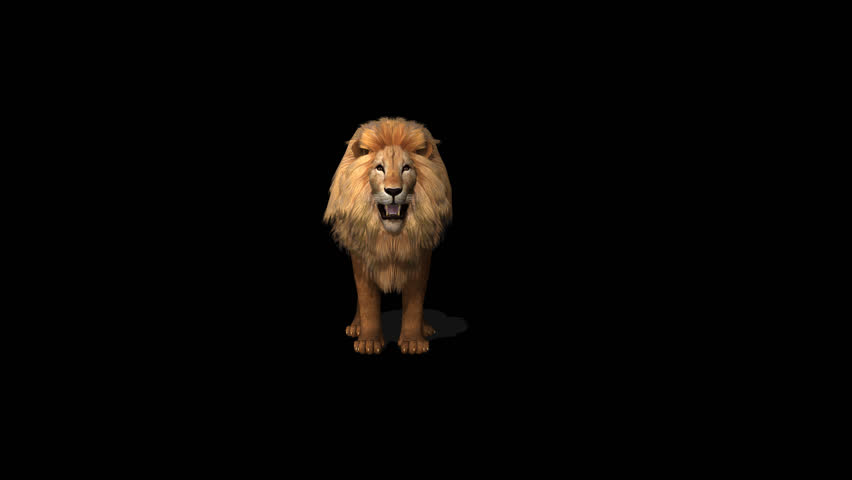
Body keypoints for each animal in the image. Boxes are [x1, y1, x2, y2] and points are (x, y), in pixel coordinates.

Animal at [324, 118, 452, 355]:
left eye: (406, 168)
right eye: (379, 168)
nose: (393, 191)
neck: (392, 238)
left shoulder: (420, 256)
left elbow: (415, 302)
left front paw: (413, 342)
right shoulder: (362, 258)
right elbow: (367, 300)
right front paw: (368, 341)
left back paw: (426, 328)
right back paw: (355, 326)